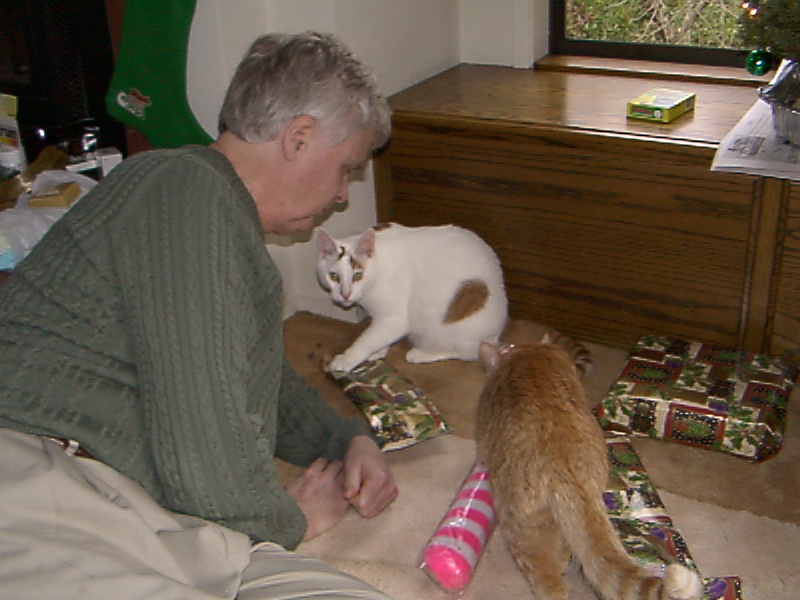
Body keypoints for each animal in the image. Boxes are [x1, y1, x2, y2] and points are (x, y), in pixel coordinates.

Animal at [316, 222, 507, 372]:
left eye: (357, 275)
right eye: (333, 276)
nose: (345, 294)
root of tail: (496, 339)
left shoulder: (395, 318)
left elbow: (368, 339)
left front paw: (347, 358)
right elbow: (378, 335)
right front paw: (379, 350)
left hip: (458, 331)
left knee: (467, 353)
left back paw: (423, 353)